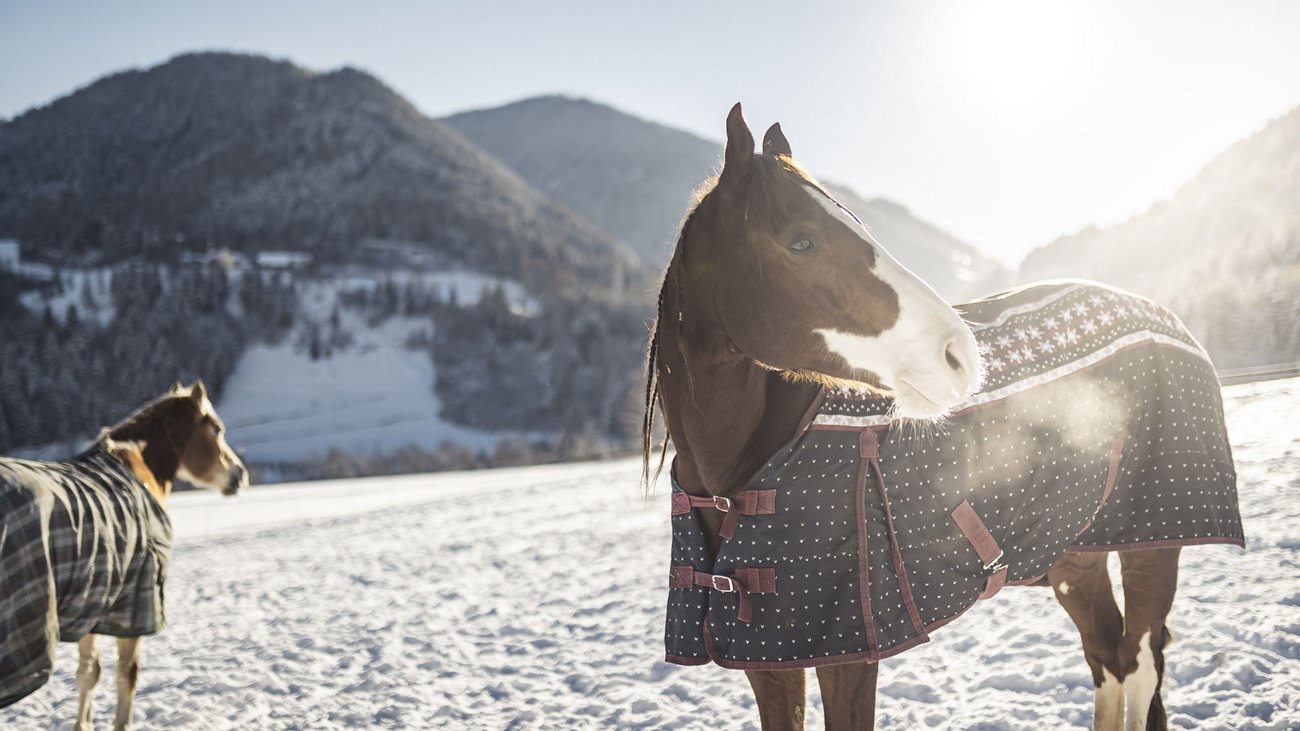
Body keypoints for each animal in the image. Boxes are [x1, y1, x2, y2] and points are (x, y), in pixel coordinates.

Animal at [0, 380, 248, 730]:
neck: (137, 465)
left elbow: (88, 673)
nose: (240, 476)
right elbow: (126, 674)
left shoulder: (94, 601)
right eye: (216, 429)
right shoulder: (136, 602)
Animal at [643, 104, 1241, 730]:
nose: (960, 354)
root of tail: (1164, 316)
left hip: (1153, 543)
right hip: (1078, 558)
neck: (741, 473)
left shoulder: (849, 659)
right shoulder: (769, 660)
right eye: (801, 241)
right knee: (1108, 655)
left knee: (1140, 662)